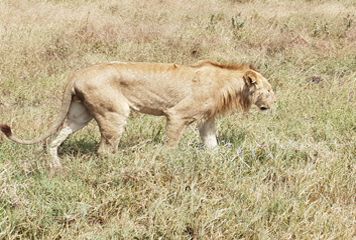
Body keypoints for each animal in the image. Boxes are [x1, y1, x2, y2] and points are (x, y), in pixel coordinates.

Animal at [0, 59, 276, 170]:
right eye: (269, 90)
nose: (275, 103)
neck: (229, 85)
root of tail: (77, 73)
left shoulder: (206, 120)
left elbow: (212, 146)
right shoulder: (177, 115)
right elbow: (170, 146)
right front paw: (167, 164)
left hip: (80, 114)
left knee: (53, 139)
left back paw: (57, 167)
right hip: (114, 113)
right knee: (105, 150)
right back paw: (119, 167)